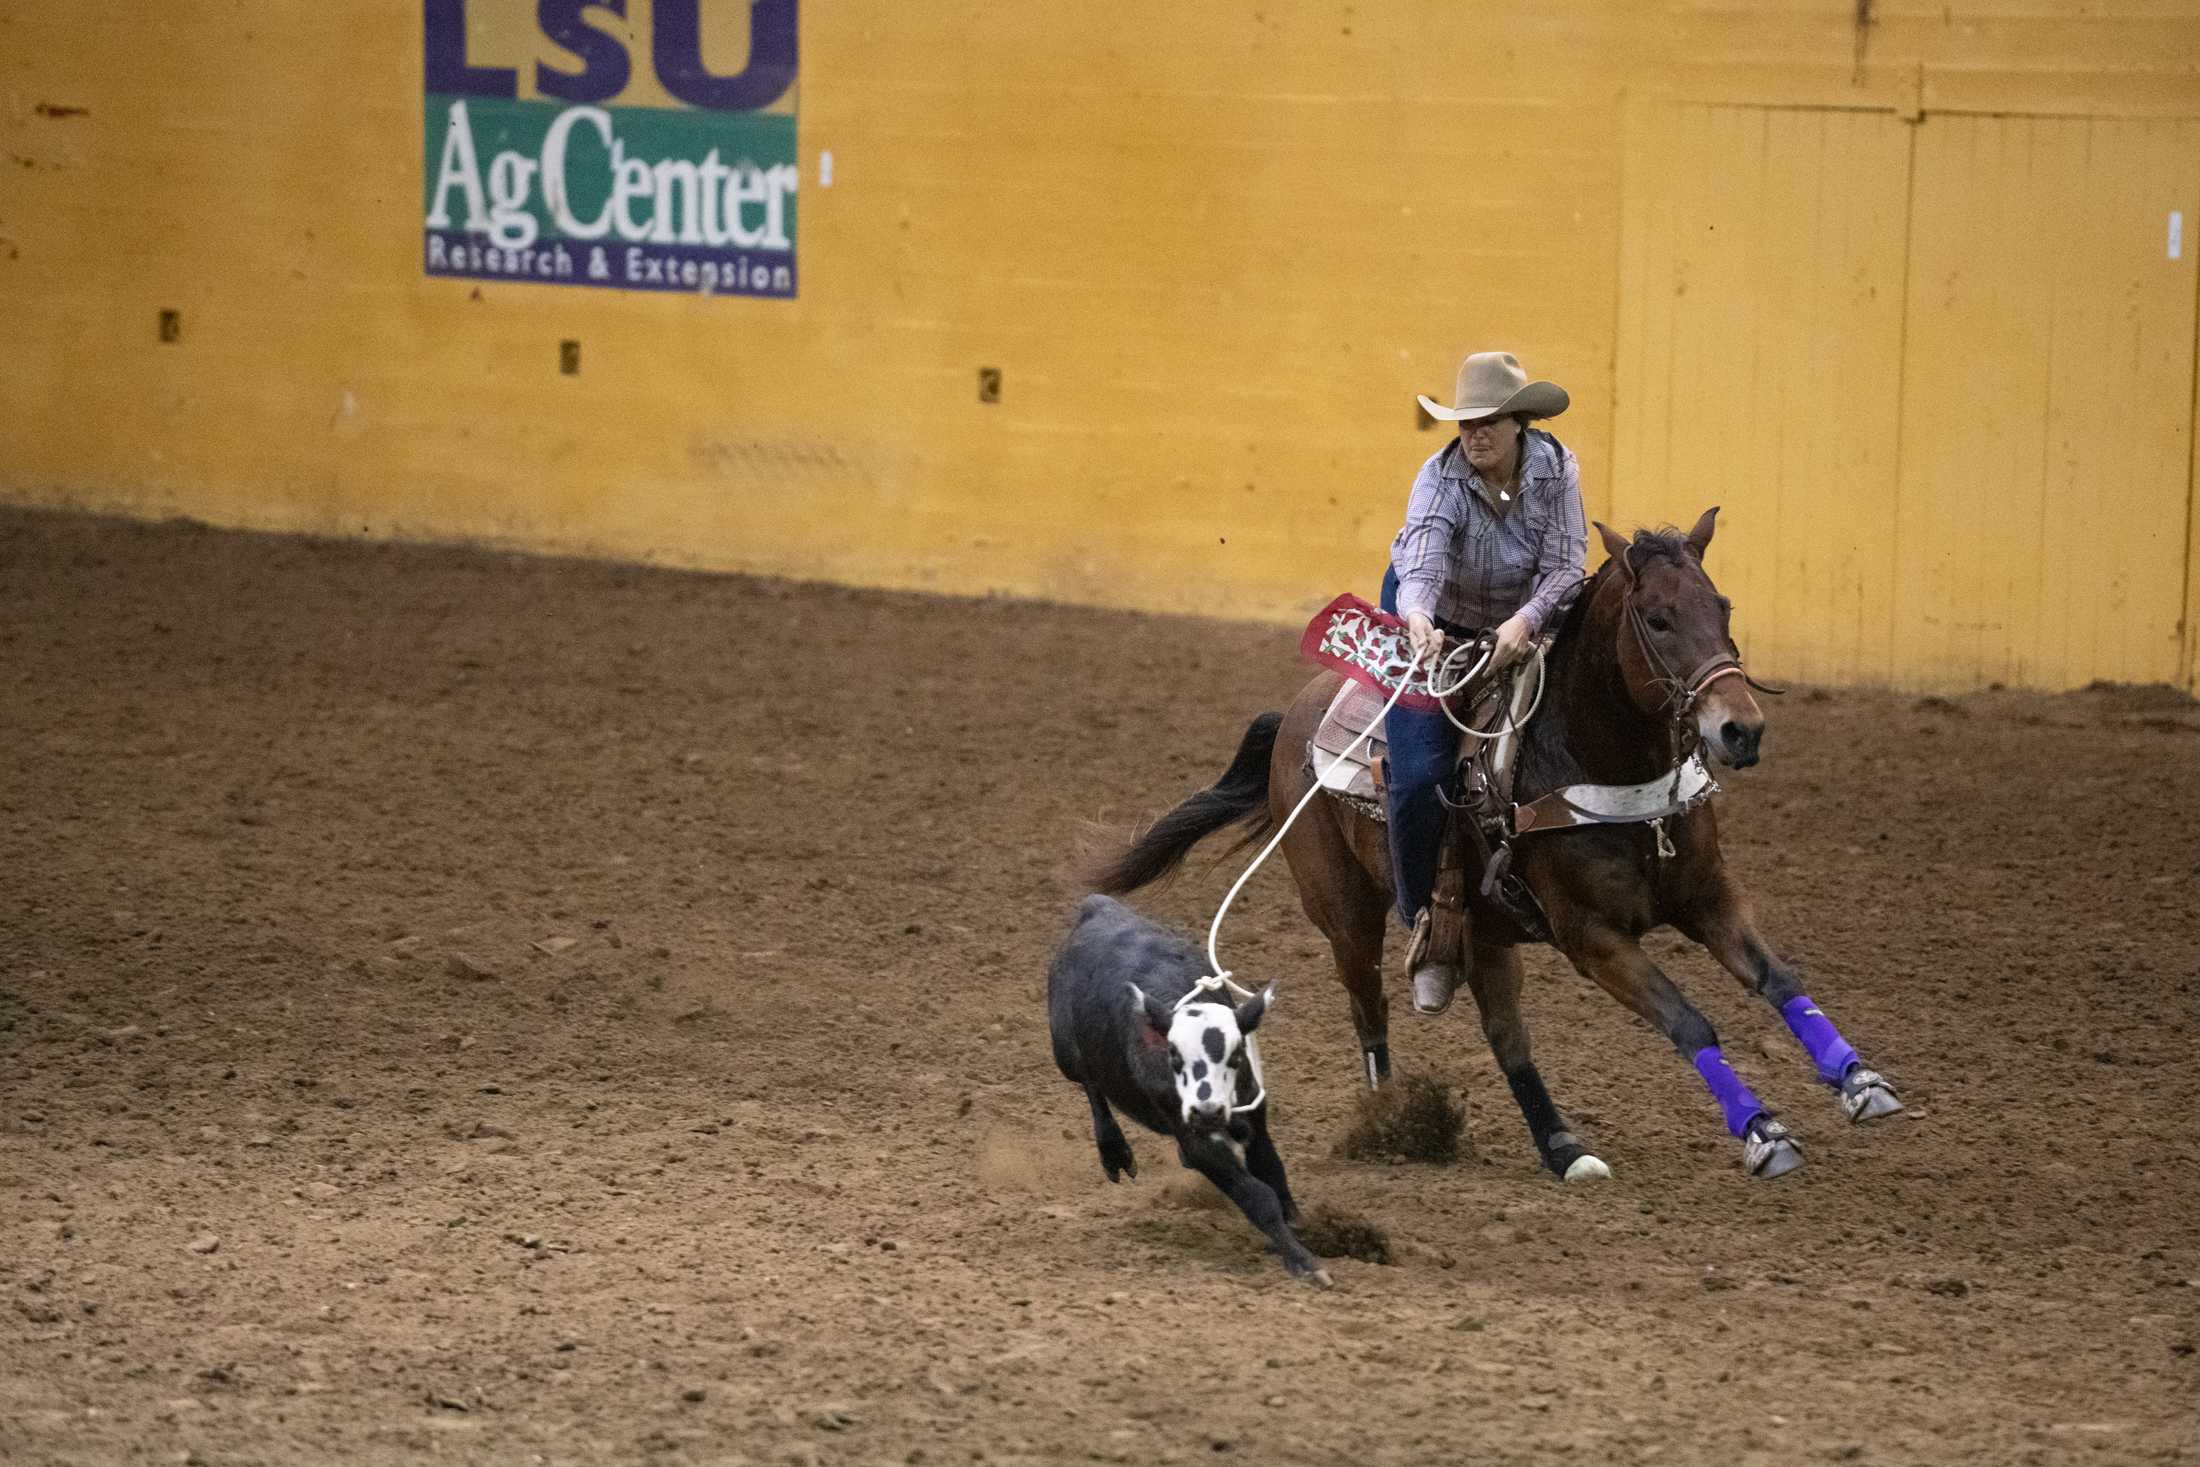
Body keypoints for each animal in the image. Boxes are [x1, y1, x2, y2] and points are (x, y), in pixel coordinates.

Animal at [1091, 514, 1900, 1178]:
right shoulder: (1591, 936)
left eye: (1722, 606)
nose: (1741, 729)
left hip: (1485, 934)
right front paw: (1764, 1131)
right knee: (1369, 1010)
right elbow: (1686, 1018)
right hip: (1346, 915)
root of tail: (1296, 710)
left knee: (1507, 1037)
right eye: (1658, 618)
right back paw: (1389, 1121)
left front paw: (1861, 1082)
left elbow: (1779, 978)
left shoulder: (1709, 895)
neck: (1600, 763)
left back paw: (1564, 1147)